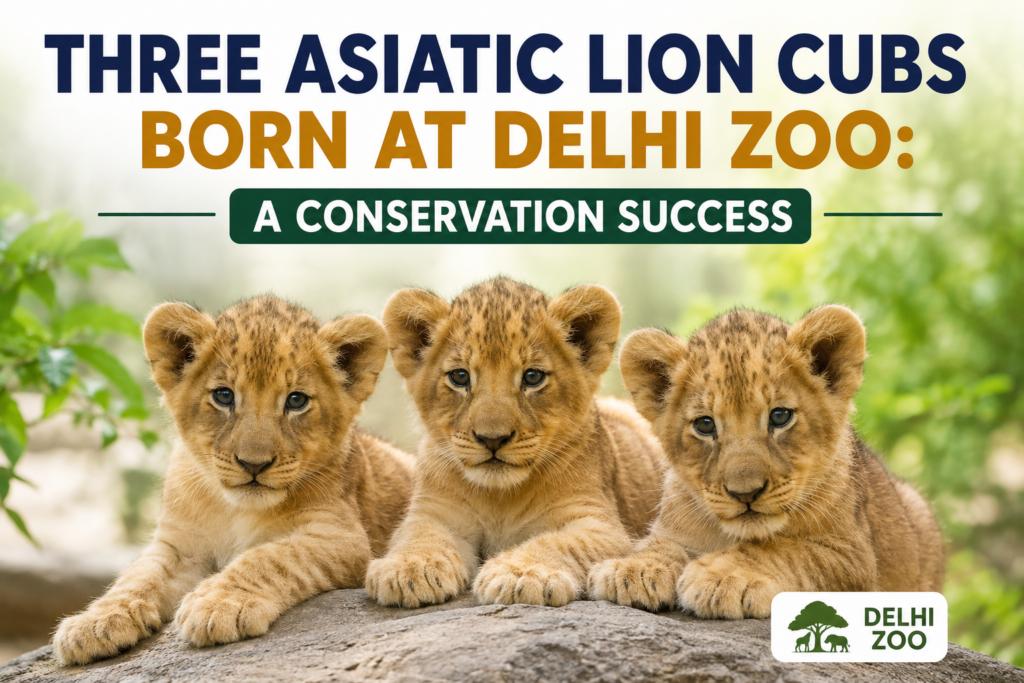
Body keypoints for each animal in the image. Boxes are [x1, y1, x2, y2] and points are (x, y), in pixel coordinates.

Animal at [53, 296, 414, 665]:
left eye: (296, 400)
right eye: (223, 396)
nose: (254, 464)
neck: (236, 510)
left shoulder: (344, 538)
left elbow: (269, 557)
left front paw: (218, 605)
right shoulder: (179, 545)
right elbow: (138, 574)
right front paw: (95, 622)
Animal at [365, 277, 665, 608]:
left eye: (532, 377)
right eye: (460, 377)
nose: (492, 439)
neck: (500, 499)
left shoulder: (602, 525)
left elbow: (559, 542)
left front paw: (521, 574)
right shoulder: (433, 512)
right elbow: (420, 537)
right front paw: (408, 568)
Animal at [588, 306, 944, 618]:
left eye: (780, 416)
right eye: (705, 424)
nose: (745, 493)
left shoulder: (854, 560)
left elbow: (786, 550)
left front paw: (722, 576)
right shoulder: (673, 528)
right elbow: (660, 545)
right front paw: (632, 569)